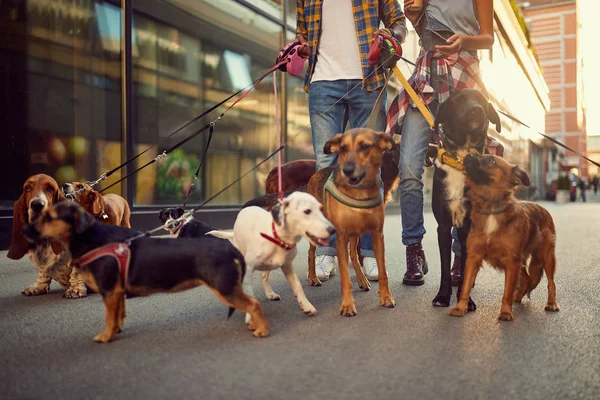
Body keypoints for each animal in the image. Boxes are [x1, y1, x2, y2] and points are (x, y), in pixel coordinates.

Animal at [24, 202, 270, 342]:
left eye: (174, 216)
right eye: (165, 216)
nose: (26, 230)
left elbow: (110, 317)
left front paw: (106, 335)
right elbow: (117, 315)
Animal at [432, 89, 502, 310]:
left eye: (482, 101)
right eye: (458, 100)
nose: (477, 110)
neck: (461, 159)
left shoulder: (469, 228)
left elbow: (465, 269)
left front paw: (466, 299)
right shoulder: (443, 226)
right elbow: (444, 268)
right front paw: (442, 296)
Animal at [452, 155, 560, 320]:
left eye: (491, 160)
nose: (468, 155)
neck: (491, 208)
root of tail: (542, 208)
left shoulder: (511, 261)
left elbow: (507, 291)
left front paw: (505, 312)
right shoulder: (473, 258)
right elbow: (465, 286)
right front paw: (460, 308)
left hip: (546, 256)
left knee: (550, 282)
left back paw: (552, 303)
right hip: (522, 261)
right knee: (527, 279)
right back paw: (518, 296)